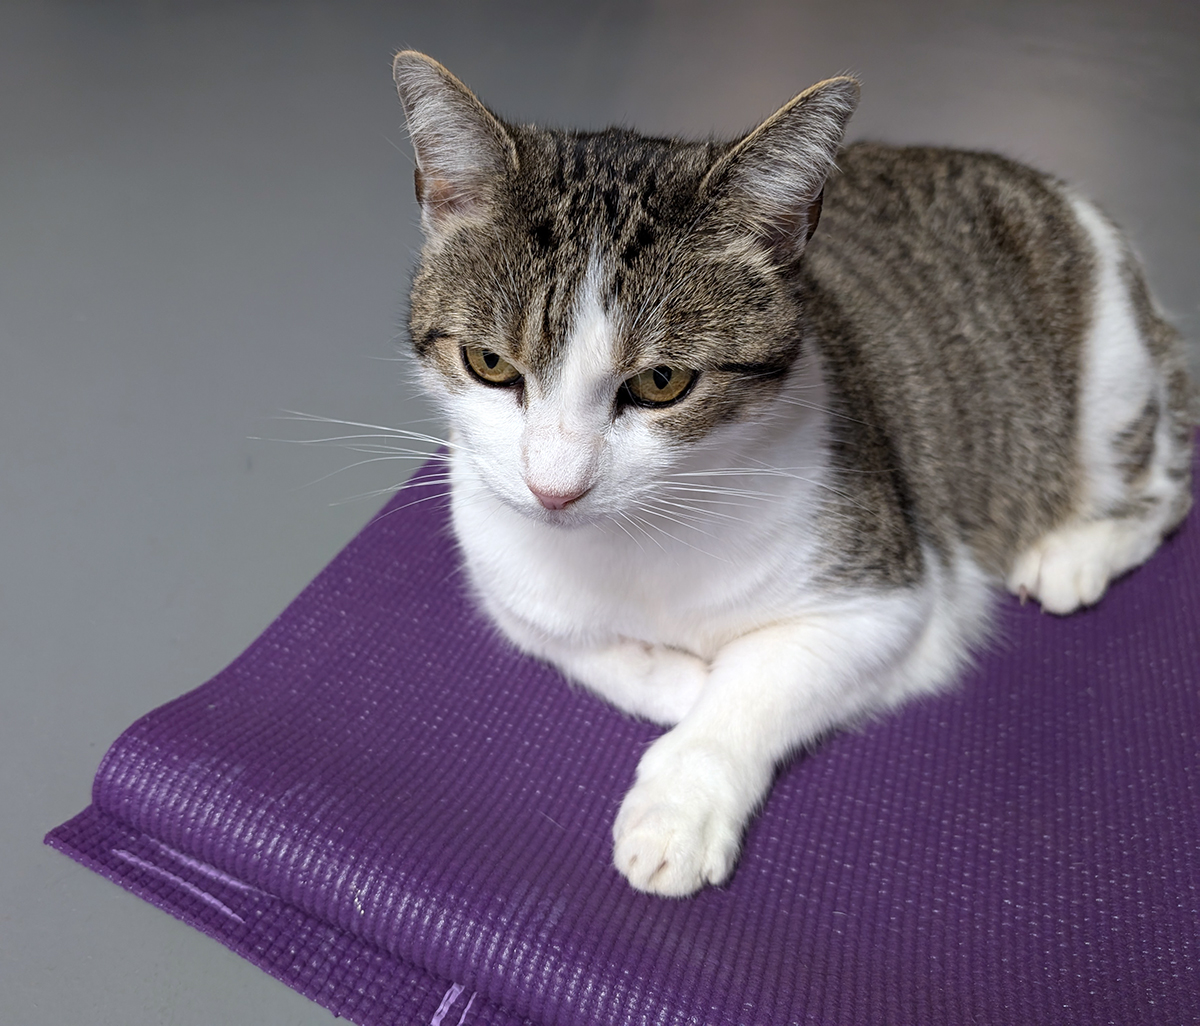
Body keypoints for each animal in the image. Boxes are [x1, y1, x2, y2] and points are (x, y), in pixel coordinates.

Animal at [391, 52, 1190, 892]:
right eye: (489, 364)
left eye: (662, 382)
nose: (555, 489)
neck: (632, 537)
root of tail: (1059, 191)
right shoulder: (504, 577)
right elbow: (568, 643)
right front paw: (679, 680)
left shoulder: (889, 596)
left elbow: (757, 680)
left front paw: (681, 797)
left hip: (1112, 387)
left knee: (1166, 485)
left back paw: (1077, 553)